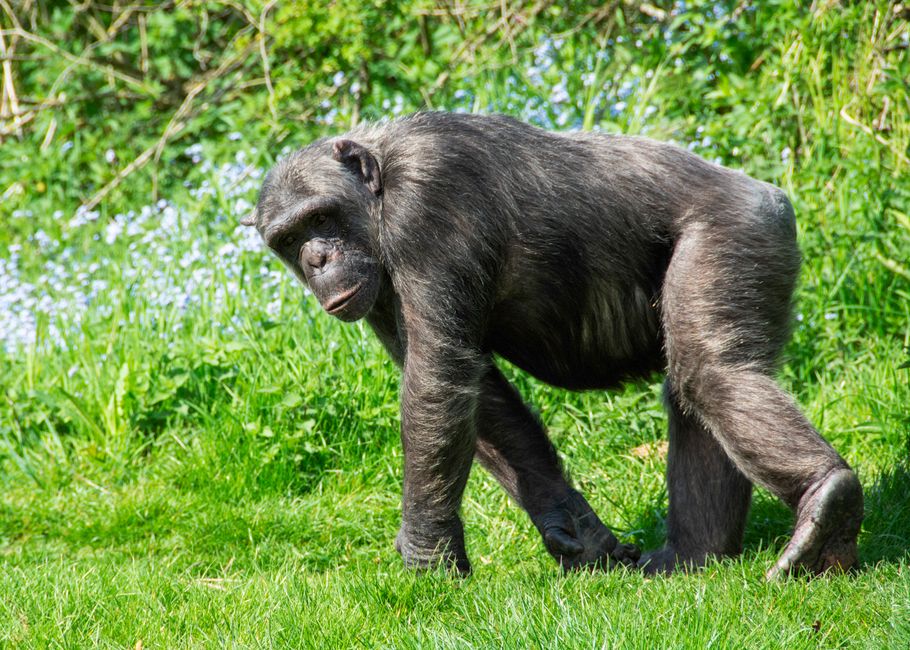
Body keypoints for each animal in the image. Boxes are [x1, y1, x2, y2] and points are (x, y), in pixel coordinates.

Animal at [243, 112, 863, 578]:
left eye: (322, 217)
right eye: (289, 238)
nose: (317, 258)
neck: (382, 187)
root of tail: (771, 195)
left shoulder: (428, 206)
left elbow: (437, 382)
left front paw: (426, 556)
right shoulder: (376, 294)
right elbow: (485, 400)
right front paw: (583, 535)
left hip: (737, 234)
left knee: (711, 371)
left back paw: (826, 506)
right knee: (692, 393)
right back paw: (693, 555)